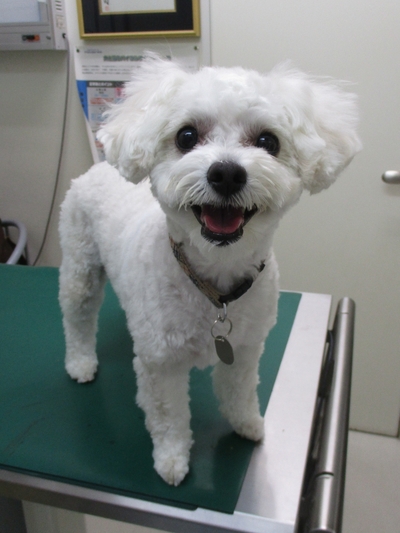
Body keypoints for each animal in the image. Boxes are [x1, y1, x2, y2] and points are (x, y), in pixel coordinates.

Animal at [59, 56, 362, 484]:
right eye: (187, 136)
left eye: (268, 141)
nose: (227, 173)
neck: (214, 284)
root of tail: (98, 167)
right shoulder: (161, 364)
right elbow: (168, 416)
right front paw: (171, 460)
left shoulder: (247, 348)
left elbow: (240, 392)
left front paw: (247, 424)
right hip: (80, 267)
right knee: (78, 317)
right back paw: (81, 362)